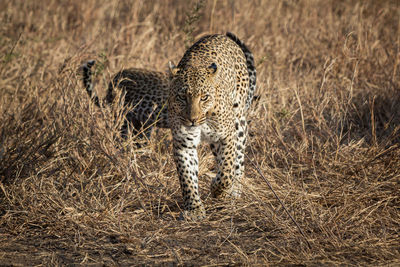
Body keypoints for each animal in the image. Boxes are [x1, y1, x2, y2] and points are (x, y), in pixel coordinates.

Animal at [168, 32, 256, 221]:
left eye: (204, 97)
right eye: (182, 97)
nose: (192, 119)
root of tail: (220, 35)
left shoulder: (227, 135)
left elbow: (226, 170)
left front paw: (218, 190)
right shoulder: (183, 143)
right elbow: (187, 177)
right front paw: (194, 209)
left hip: (239, 122)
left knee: (238, 161)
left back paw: (235, 190)